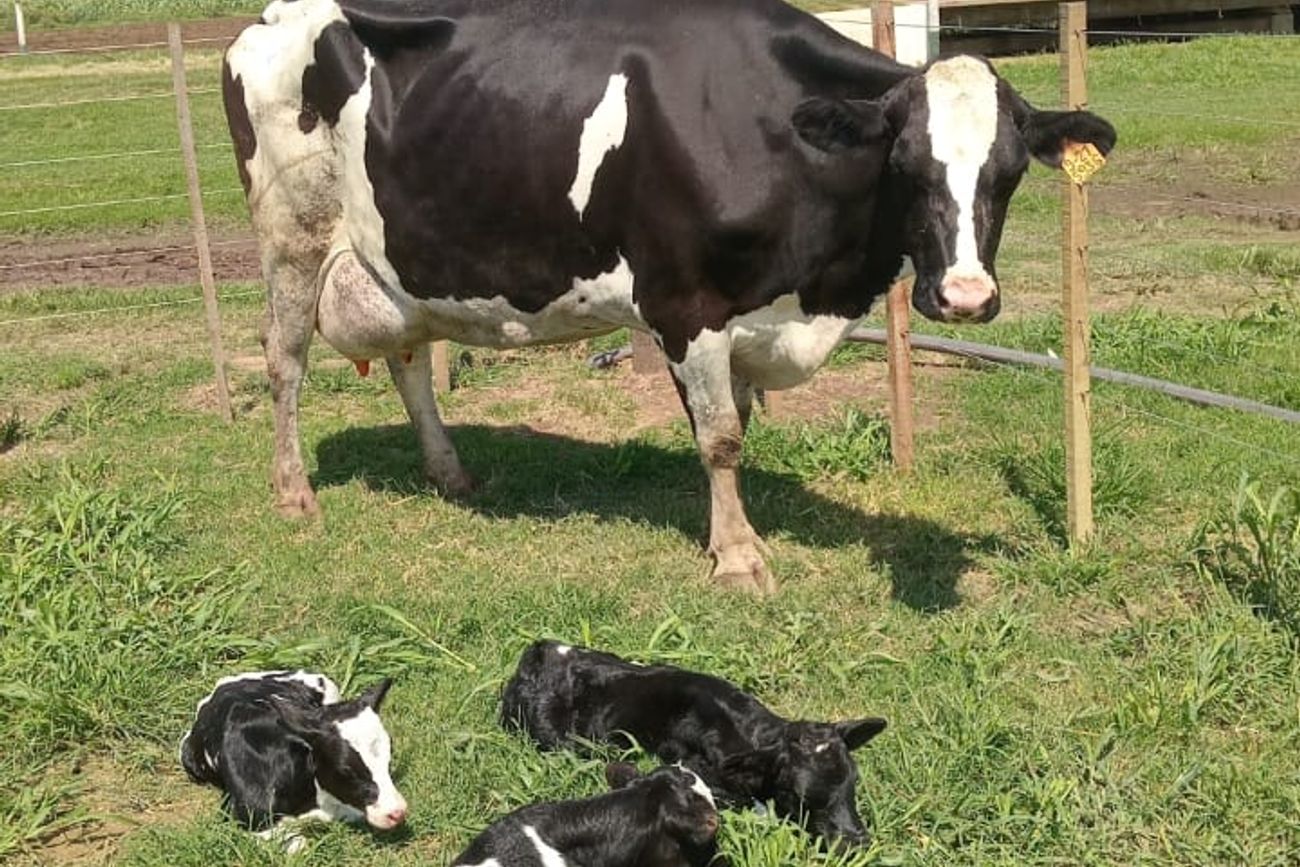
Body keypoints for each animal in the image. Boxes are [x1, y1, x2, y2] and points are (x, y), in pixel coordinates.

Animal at [223, 0, 1116, 593]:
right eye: (906, 164)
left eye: (1008, 173)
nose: (965, 298)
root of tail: (272, 16)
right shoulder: (686, 302)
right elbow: (720, 436)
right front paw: (740, 556)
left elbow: (737, 424)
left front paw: (731, 529)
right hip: (291, 233)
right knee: (285, 360)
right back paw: (294, 491)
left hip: (395, 259)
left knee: (409, 358)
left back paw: (450, 471)